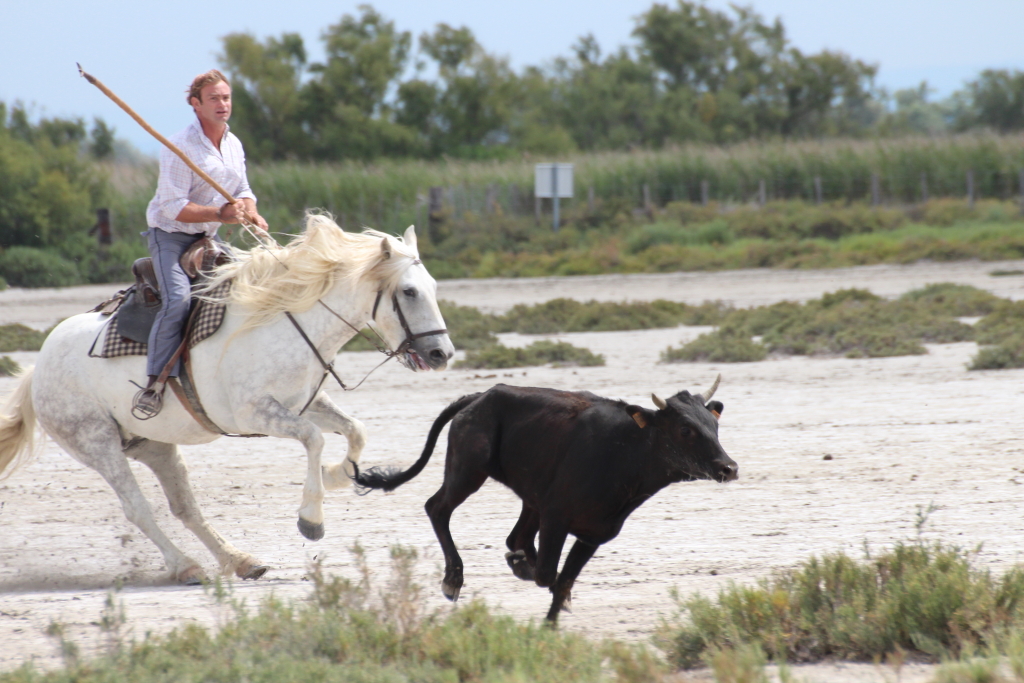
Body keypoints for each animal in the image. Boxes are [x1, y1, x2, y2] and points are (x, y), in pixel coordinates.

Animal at [0, 216, 452, 585]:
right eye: (409, 292)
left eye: (433, 288)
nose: (441, 354)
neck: (286, 319)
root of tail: (38, 367)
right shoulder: (256, 413)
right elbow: (314, 439)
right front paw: (311, 518)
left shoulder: (306, 403)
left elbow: (355, 430)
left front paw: (339, 475)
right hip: (98, 445)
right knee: (138, 508)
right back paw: (185, 566)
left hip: (154, 445)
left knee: (186, 508)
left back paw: (240, 561)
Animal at [354, 378, 737, 626]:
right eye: (685, 429)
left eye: (713, 425)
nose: (729, 467)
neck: (625, 452)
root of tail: (482, 395)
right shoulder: (556, 518)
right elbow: (549, 575)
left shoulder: (593, 533)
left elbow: (562, 580)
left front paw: (551, 624)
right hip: (468, 471)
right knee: (437, 508)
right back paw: (453, 579)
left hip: (530, 498)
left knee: (516, 538)